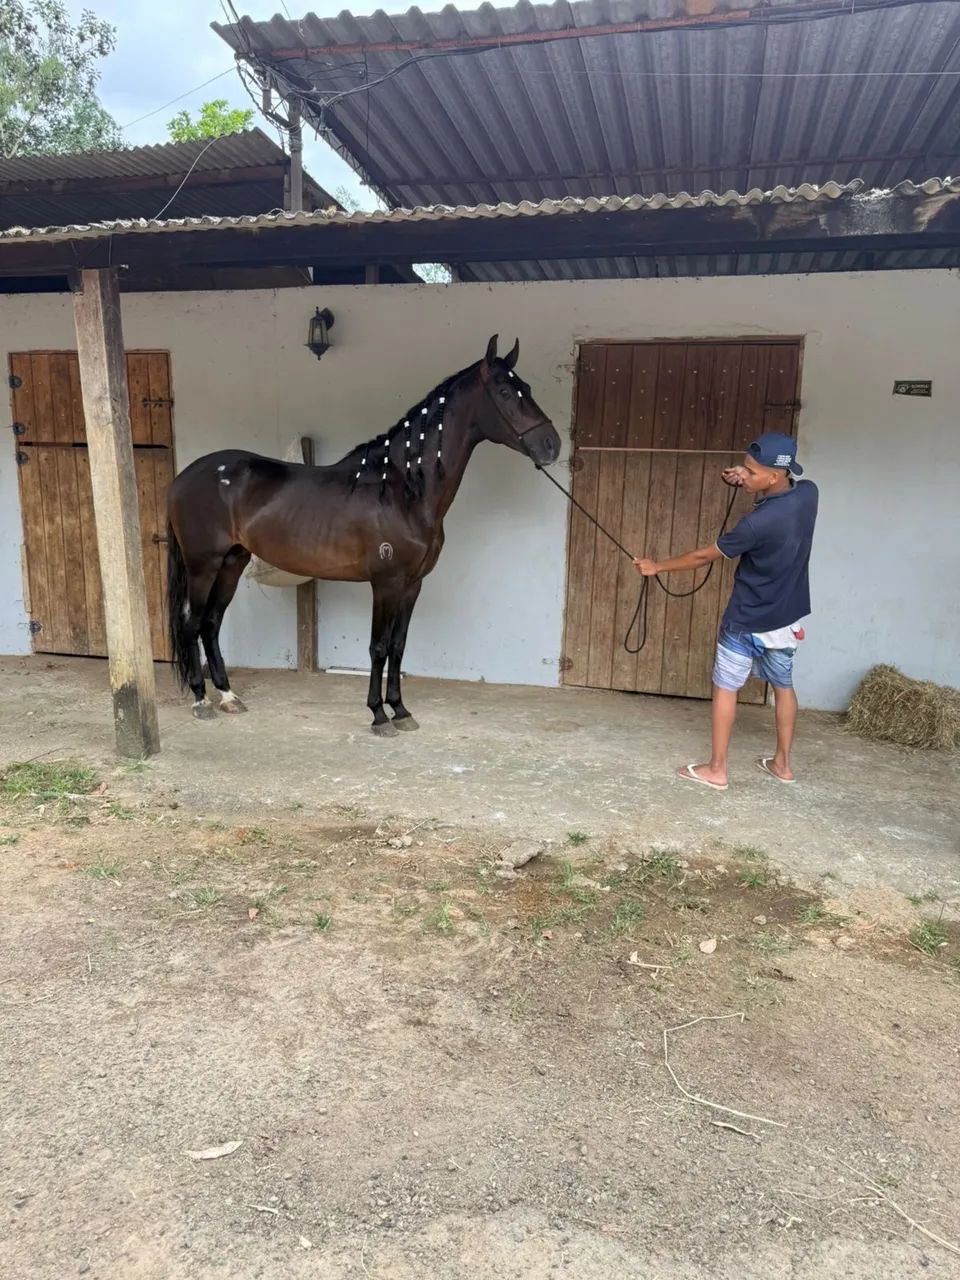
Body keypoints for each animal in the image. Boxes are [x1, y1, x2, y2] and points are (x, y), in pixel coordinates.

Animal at [166, 335, 561, 735]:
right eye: (504, 391)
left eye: (527, 388)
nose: (551, 444)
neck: (403, 490)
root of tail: (183, 478)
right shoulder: (386, 581)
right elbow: (379, 647)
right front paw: (379, 714)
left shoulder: (412, 583)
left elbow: (399, 646)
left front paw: (401, 710)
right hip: (203, 564)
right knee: (192, 622)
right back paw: (201, 701)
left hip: (233, 561)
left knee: (212, 623)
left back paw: (228, 697)